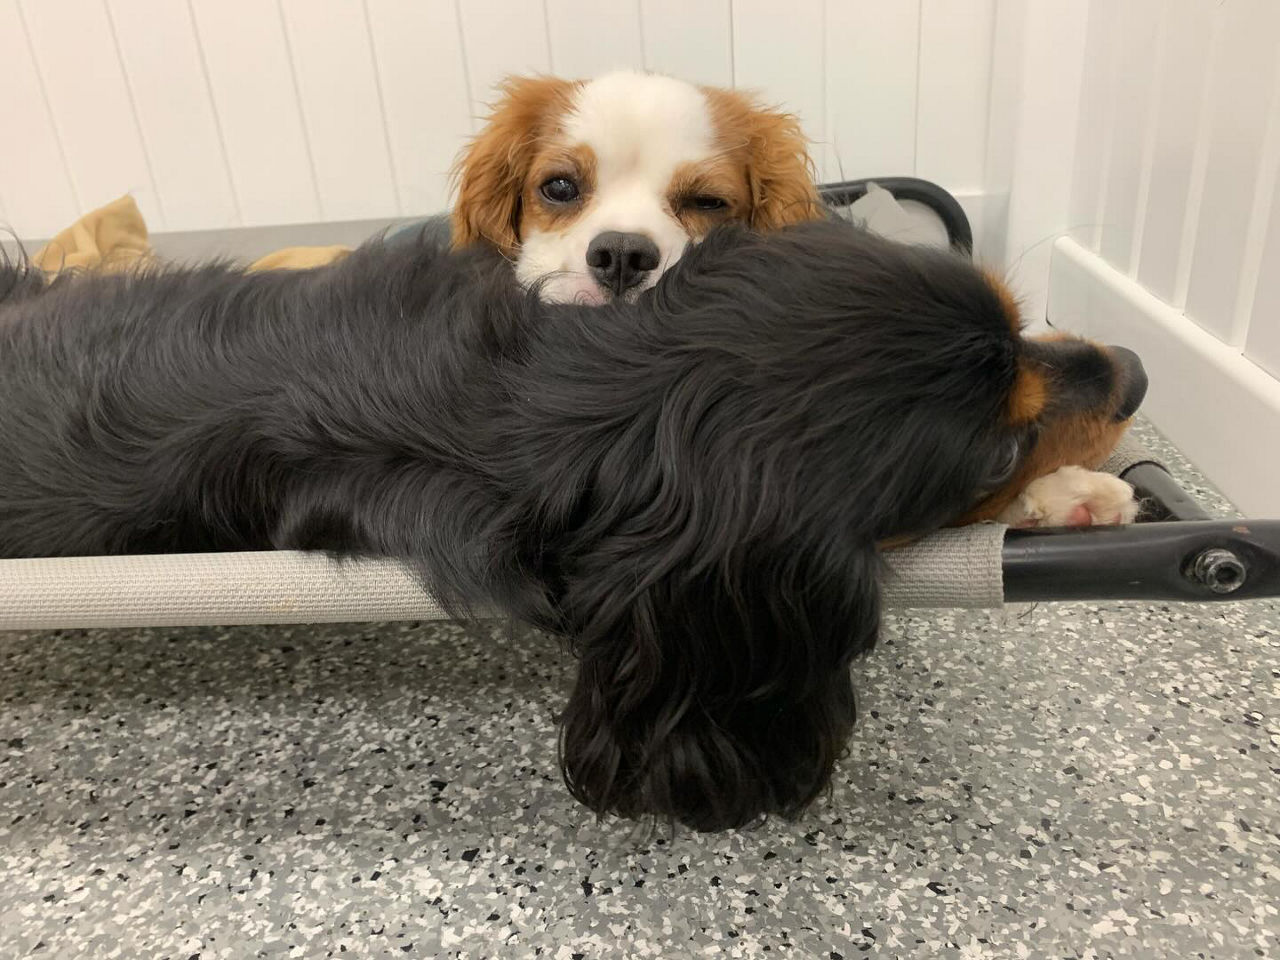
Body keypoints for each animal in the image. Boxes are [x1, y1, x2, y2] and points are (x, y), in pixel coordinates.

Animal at [0, 221, 1152, 829]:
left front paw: (1082, 487)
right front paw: (1066, 487)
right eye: (994, 451)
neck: (578, 394)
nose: (1139, 372)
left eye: (1023, 323)